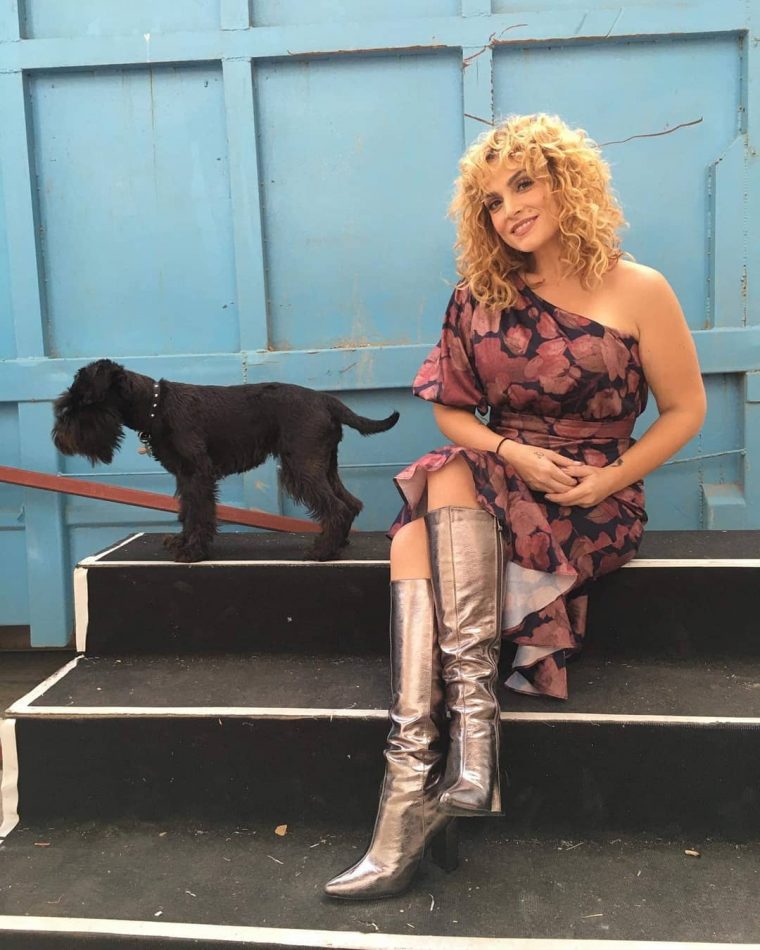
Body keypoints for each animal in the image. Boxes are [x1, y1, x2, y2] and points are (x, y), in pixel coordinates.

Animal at [52, 359, 399, 562]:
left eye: (83, 401)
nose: (59, 437)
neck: (154, 405)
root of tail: (327, 400)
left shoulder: (198, 473)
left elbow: (200, 511)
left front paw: (192, 551)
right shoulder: (184, 475)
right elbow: (187, 510)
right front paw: (182, 542)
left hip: (302, 465)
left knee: (337, 507)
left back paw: (322, 551)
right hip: (322, 464)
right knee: (350, 503)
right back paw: (336, 544)